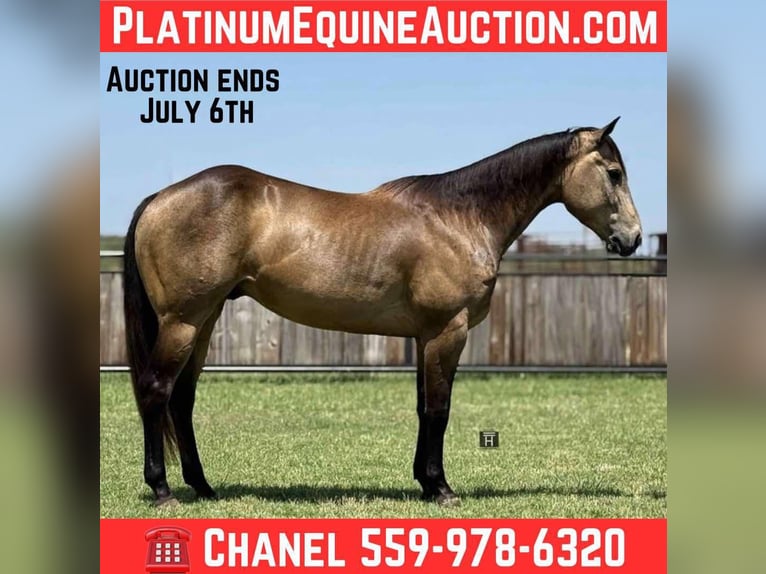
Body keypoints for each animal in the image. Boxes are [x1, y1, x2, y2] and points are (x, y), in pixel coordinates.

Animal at [123, 117, 642, 507]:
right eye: (614, 172)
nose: (633, 239)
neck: (459, 218)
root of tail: (159, 198)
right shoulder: (447, 331)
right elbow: (439, 408)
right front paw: (442, 488)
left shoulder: (424, 336)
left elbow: (422, 407)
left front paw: (424, 482)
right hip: (183, 322)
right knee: (156, 391)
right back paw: (164, 490)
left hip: (204, 321)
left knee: (182, 399)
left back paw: (204, 487)